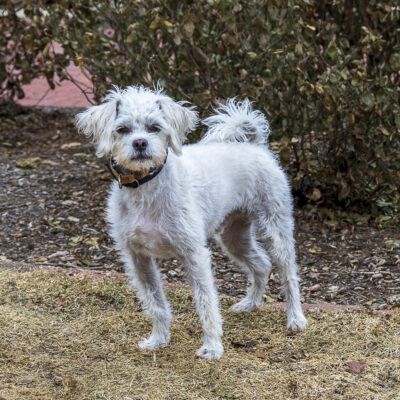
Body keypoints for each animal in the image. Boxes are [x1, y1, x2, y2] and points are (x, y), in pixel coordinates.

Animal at [75, 86, 306, 360]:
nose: (140, 143)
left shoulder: (194, 254)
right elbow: (155, 303)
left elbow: (206, 304)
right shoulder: (138, 258)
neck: (147, 188)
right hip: (233, 236)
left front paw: (212, 347)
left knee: (289, 274)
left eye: (155, 127)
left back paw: (295, 318)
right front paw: (158, 339)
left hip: (275, 228)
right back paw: (250, 304)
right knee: (261, 264)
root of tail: (255, 145)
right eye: (122, 129)